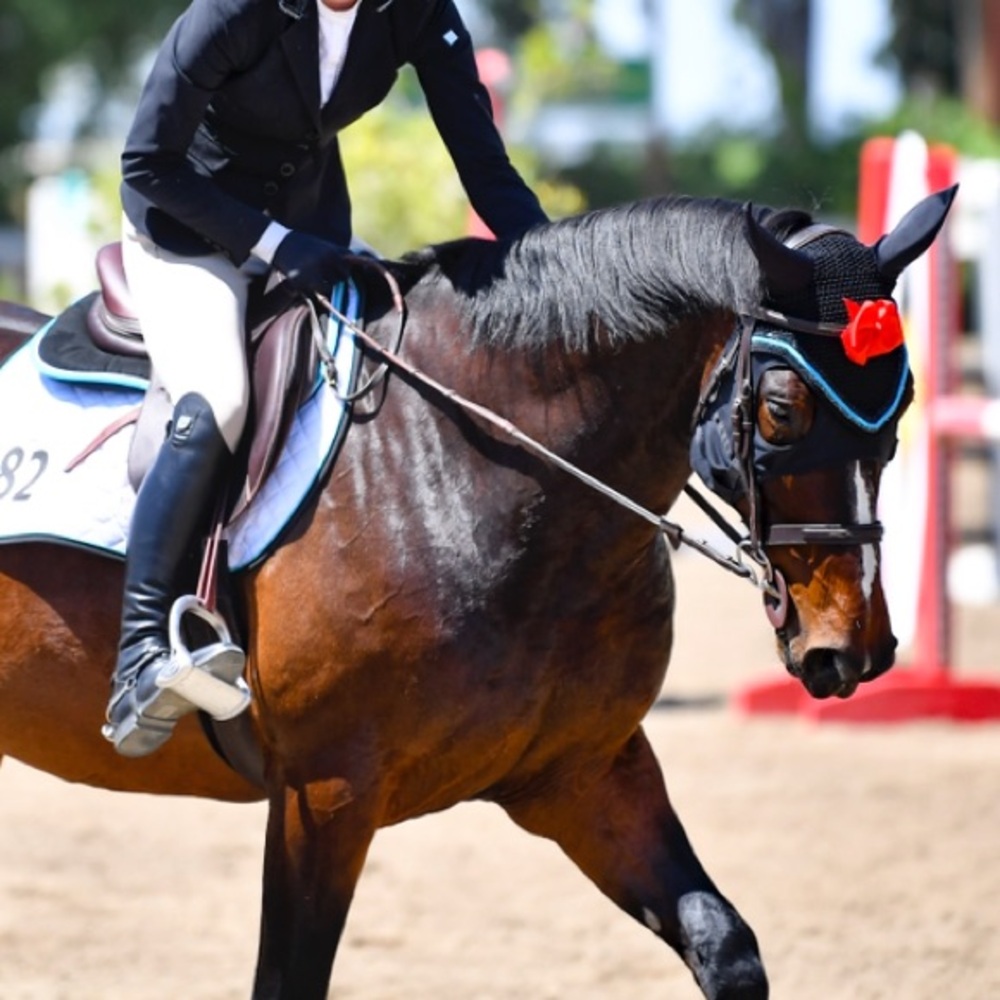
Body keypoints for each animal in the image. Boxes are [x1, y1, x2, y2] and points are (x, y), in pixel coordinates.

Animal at [0, 187, 954, 999]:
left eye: (905, 399)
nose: (853, 649)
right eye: (784, 410)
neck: (480, 471)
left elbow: (724, 945)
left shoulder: (585, 773)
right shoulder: (325, 794)